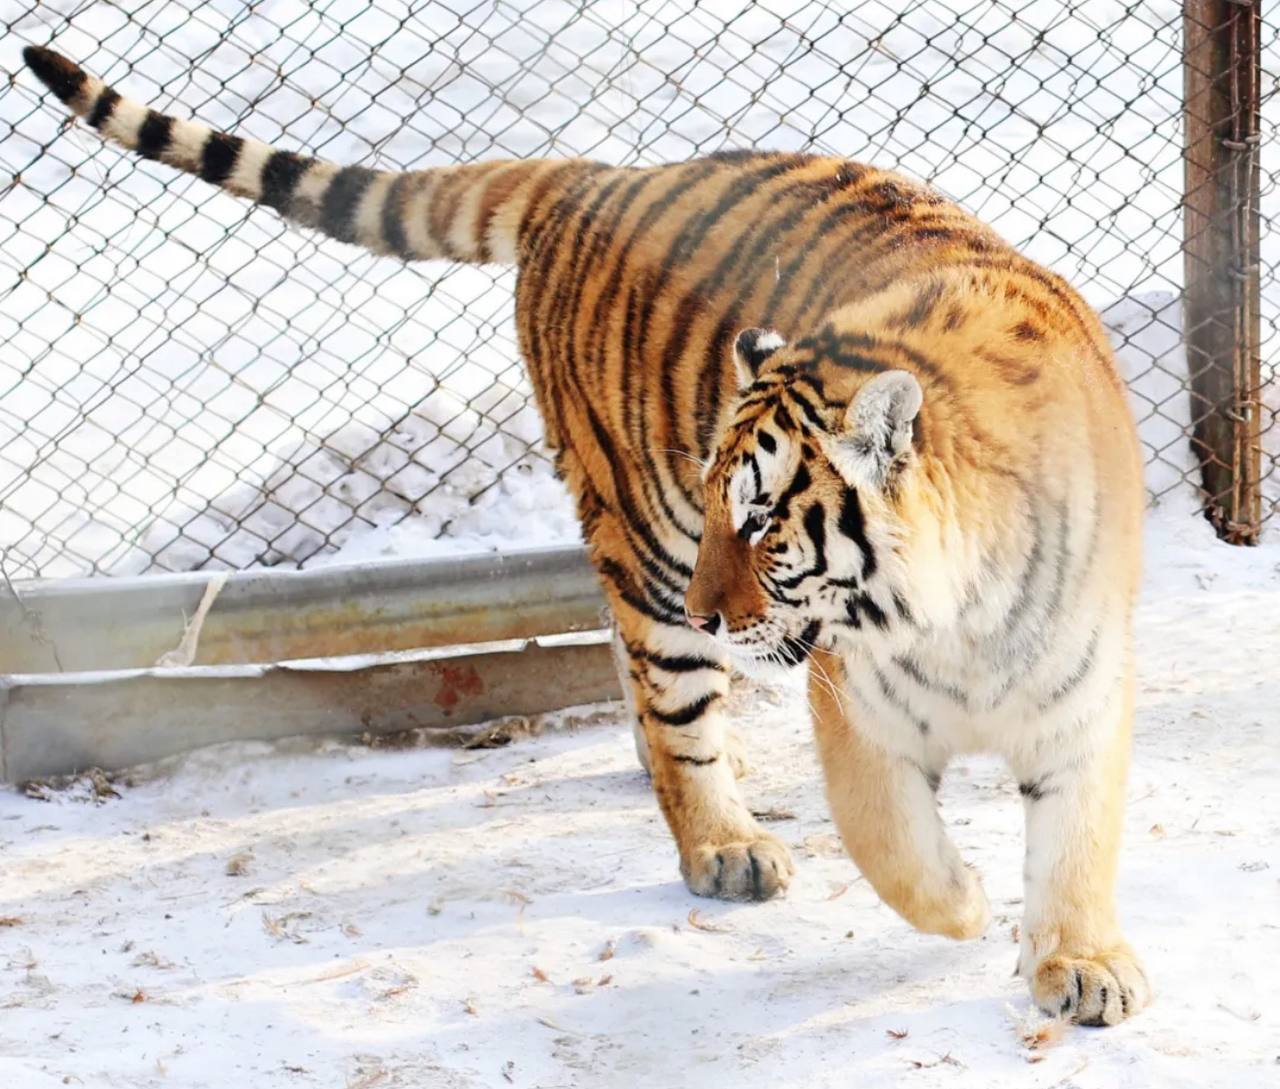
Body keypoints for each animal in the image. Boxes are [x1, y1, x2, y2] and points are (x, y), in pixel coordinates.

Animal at [24, 45, 1149, 1025]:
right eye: (725, 508)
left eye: (757, 519)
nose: (711, 602)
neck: (959, 612)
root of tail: (592, 176)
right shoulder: (853, 703)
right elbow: (893, 844)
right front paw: (963, 904)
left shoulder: (1080, 691)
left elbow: (1078, 844)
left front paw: (1084, 967)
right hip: (641, 536)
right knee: (671, 701)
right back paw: (723, 844)